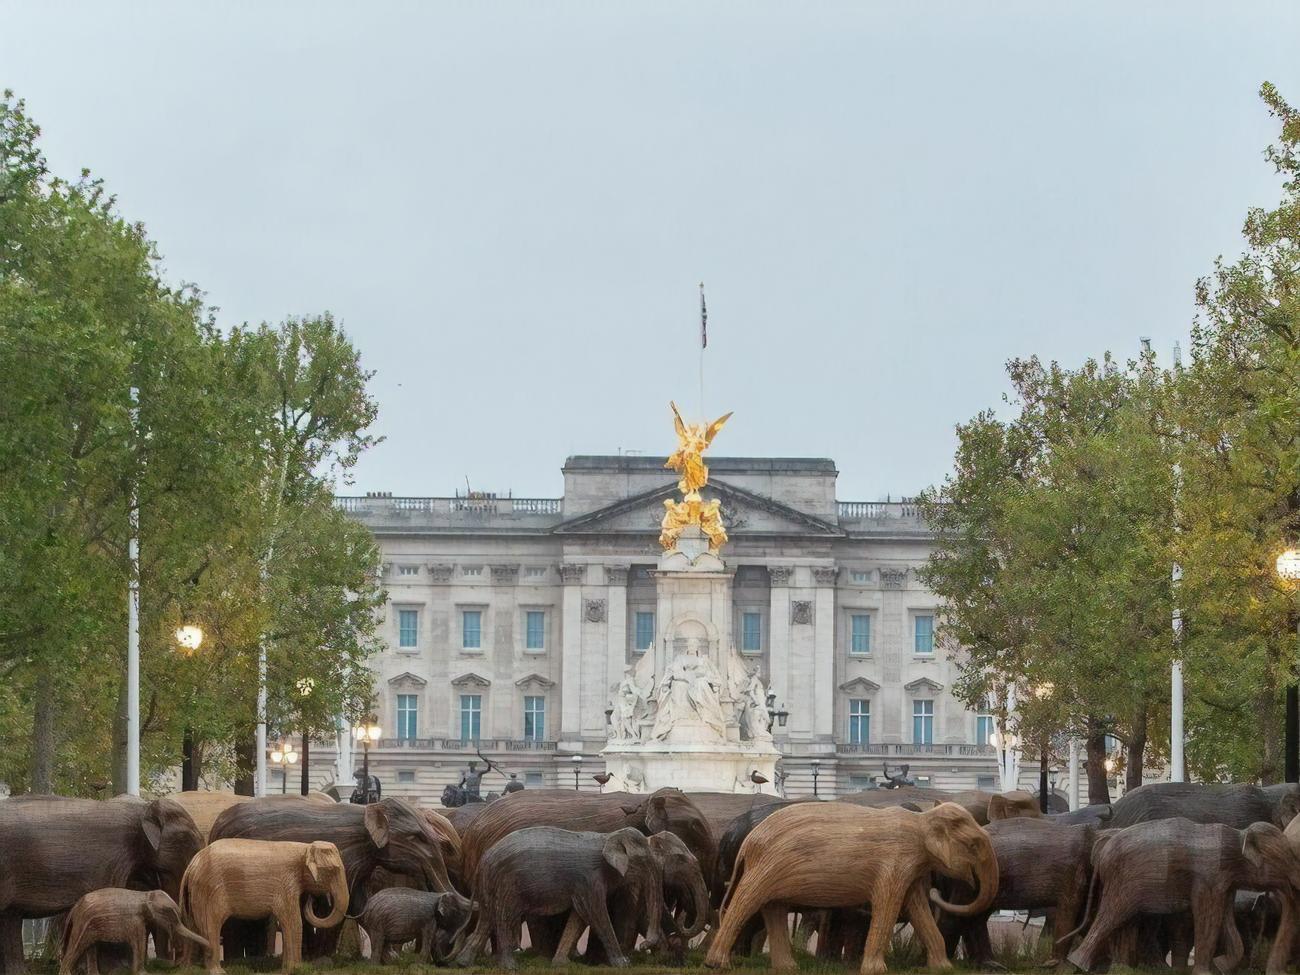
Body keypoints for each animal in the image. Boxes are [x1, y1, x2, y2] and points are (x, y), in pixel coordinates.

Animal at [60, 889, 207, 975]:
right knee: (77, 945)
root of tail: (74, 908)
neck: (145, 895)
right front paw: (145, 974)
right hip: (83, 923)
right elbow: (139, 942)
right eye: (169, 913)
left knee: (90, 947)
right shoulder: (135, 921)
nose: (177, 965)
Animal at [179, 839, 349, 975]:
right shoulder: (286, 883)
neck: (304, 848)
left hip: (194, 894)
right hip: (209, 891)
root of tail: (191, 865)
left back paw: (188, 969)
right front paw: (296, 969)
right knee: (211, 926)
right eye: (332, 871)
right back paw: (218, 971)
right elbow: (293, 921)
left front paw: (286, 969)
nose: (312, 899)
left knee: (191, 926)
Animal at [452, 826, 664, 969]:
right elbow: (596, 915)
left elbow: (579, 918)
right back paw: (510, 967)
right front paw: (623, 964)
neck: (608, 836)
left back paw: (463, 964)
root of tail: (483, 860)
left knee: (487, 919)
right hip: (507, 884)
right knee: (504, 917)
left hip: (491, 885)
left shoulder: (584, 885)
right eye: (644, 860)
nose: (643, 946)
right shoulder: (589, 878)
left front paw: (561, 964)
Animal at [705, 801, 999, 974]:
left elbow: (918, 909)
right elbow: (887, 905)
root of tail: (748, 842)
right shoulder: (895, 862)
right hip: (766, 868)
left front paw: (943, 969)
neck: (922, 819)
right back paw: (717, 964)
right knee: (745, 902)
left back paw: (788, 968)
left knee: (773, 908)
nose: (939, 890)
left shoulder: (913, 868)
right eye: (974, 845)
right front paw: (877, 971)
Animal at [1064, 817, 1300, 975]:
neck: (1239, 836)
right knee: (1112, 915)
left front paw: (1221, 965)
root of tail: (1102, 852)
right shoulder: (1209, 876)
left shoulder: (1225, 884)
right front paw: (1206, 972)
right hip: (1123, 882)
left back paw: (1119, 966)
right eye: (1285, 859)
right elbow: (1208, 917)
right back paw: (1079, 964)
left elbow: (1225, 917)